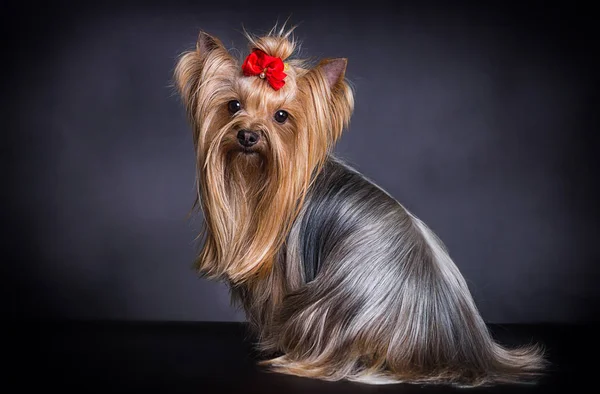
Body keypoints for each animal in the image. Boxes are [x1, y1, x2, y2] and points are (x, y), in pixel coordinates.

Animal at [171, 23, 548, 386]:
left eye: (281, 116)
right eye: (233, 106)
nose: (248, 135)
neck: (257, 179)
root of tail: (466, 354)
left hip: (322, 308)